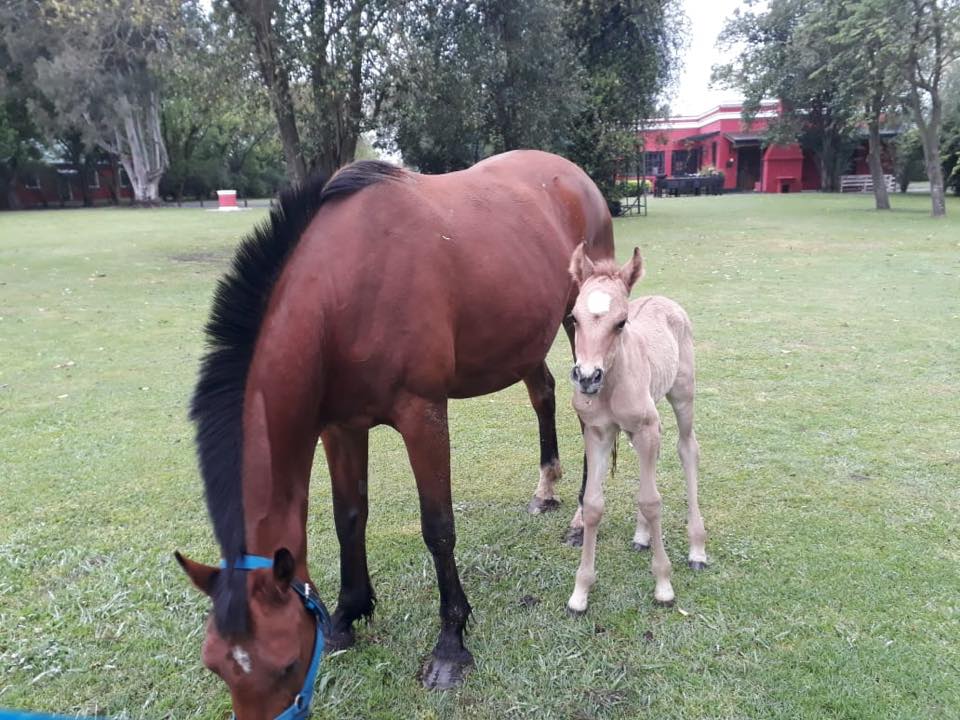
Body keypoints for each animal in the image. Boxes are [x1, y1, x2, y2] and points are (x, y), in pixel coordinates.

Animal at [174, 149, 608, 716]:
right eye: (216, 666)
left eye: (285, 665)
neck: (343, 289)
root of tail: (574, 176)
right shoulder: (339, 427)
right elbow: (349, 518)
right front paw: (347, 615)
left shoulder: (423, 415)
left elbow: (438, 528)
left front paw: (450, 645)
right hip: (526, 339)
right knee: (545, 394)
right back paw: (546, 489)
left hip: (582, 325)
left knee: (587, 412)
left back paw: (581, 515)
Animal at [564, 246, 704, 612]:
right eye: (574, 318)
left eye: (621, 322)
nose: (587, 377)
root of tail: (664, 300)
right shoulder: (598, 432)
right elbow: (593, 505)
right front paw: (580, 592)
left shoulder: (646, 427)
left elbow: (652, 501)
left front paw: (664, 585)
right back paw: (642, 536)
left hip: (683, 395)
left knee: (687, 449)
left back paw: (698, 549)